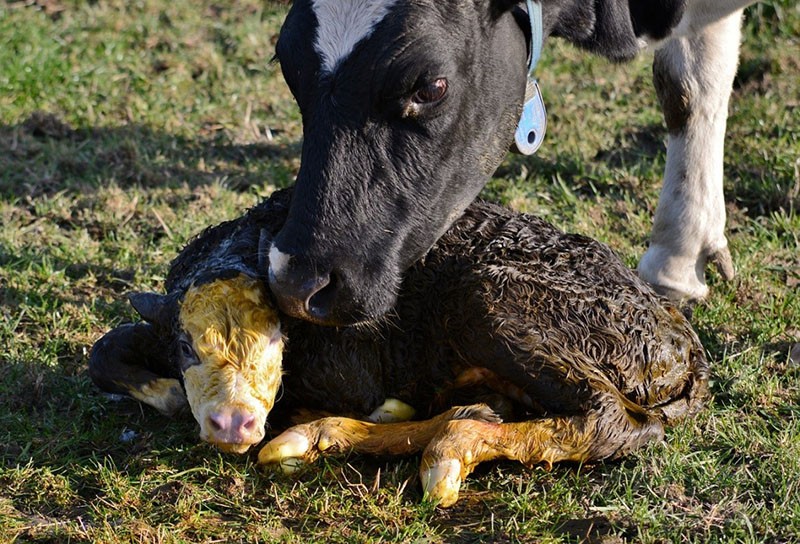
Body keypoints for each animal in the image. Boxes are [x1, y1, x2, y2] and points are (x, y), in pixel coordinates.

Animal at [90, 189, 708, 508]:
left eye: (276, 339)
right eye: (187, 345)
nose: (233, 423)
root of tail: (676, 333)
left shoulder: (352, 370)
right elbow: (105, 347)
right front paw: (170, 392)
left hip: (495, 300)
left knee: (612, 421)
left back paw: (446, 451)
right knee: (491, 407)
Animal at [268, 0, 752, 328]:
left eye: (431, 87)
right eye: (286, 64)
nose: (297, 283)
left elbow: (690, 83)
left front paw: (678, 257)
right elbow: (685, 84)